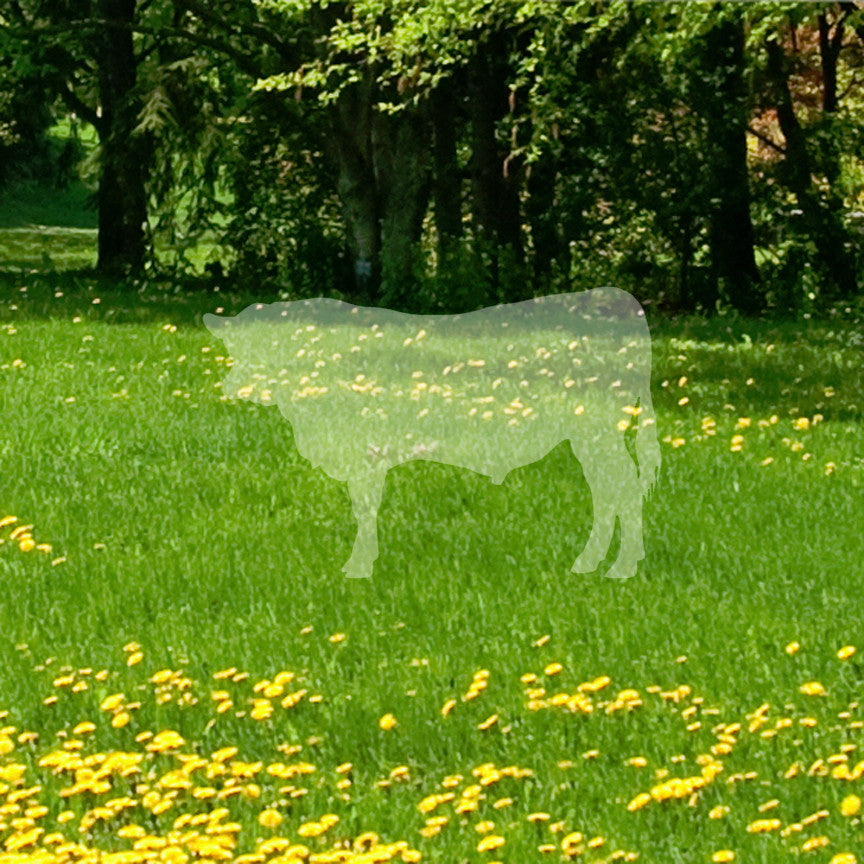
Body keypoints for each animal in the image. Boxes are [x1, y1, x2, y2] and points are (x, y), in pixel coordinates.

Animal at [204, 287, 660, 580]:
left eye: (272, 346)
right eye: (236, 348)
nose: (233, 386)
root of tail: (623, 299)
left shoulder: (366, 453)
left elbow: (365, 510)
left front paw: (358, 567)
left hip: (597, 433)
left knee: (621, 491)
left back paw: (619, 568)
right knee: (609, 493)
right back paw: (594, 563)